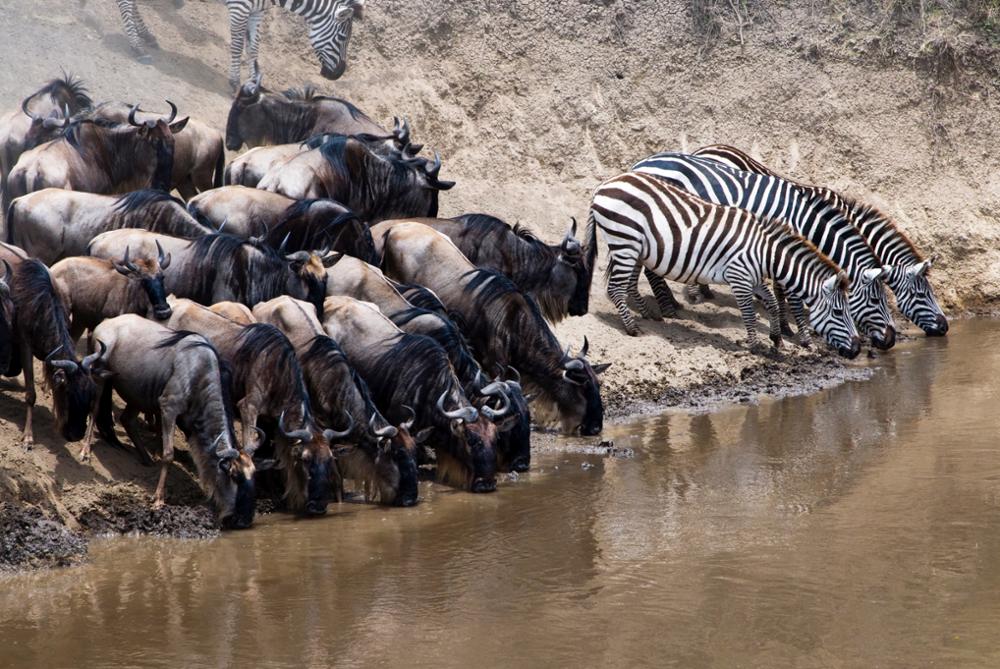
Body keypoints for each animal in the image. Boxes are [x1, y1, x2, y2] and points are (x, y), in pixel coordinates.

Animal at [114, 0, 364, 88]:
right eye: (343, 39)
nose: (338, 75)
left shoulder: (256, 12)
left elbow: (253, 48)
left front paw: (254, 83)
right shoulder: (239, 8)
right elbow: (236, 46)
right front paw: (235, 81)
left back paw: (146, 35)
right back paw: (137, 46)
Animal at [588, 172, 864, 360]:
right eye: (839, 312)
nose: (858, 349)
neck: (766, 253)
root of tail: (604, 185)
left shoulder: (754, 279)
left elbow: (772, 304)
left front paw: (776, 339)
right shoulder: (739, 277)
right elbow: (749, 313)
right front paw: (755, 345)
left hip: (636, 248)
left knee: (628, 285)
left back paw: (648, 315)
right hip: (625, 241)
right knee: (615, 289)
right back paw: (633, 328)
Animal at [632, 151, 900, 350]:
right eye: (876, 300)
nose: (890, 341)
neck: (804, 221)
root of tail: (642, 162)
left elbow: (779, 288)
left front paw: (783, 328)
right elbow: (789, 293)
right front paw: (802, 336)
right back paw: (668, 308)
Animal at [692, 144, 948, 336]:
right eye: (922, 295)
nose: (945, 328)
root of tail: (706, 149)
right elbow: (785, 285)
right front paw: (790, 326)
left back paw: (704, 289)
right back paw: (698, 293)